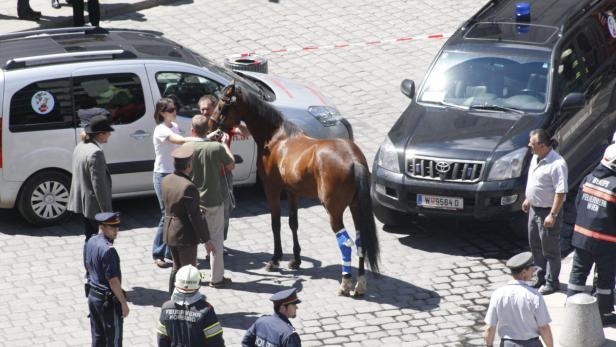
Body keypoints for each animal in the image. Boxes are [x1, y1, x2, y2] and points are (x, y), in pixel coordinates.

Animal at [209, 81, 378, 296]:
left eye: (222, 105)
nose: (211, 124)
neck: (276, 138)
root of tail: (353, 159)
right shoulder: (291, 192)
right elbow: (293, 222)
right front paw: (296, 260)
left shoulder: (272, 189)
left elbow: (276, 223)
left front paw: (275, 260)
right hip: (355, 207)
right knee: (360, 240)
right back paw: (361, 283)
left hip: (334, 211)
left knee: (345, 243)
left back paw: (346, 282)